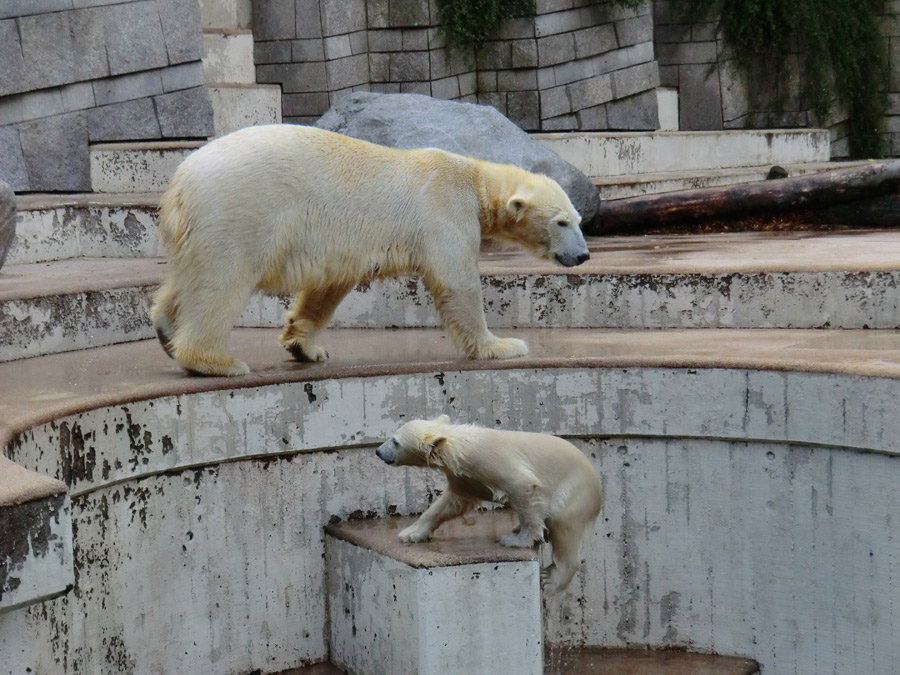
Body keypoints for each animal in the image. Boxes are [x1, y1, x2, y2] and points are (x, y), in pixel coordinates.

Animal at [153, 125, 592, 378]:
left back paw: (164, 329)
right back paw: (215, 362)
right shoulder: (444, 210)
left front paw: (305, 346)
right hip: (238, 209)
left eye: (579, 219)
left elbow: (328, 286)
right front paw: (502, 346)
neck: (474, 176)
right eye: (561, 223)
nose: (583, 255)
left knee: (188, 278)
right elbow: (457, 281)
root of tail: (180, 178)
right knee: (222, 281)